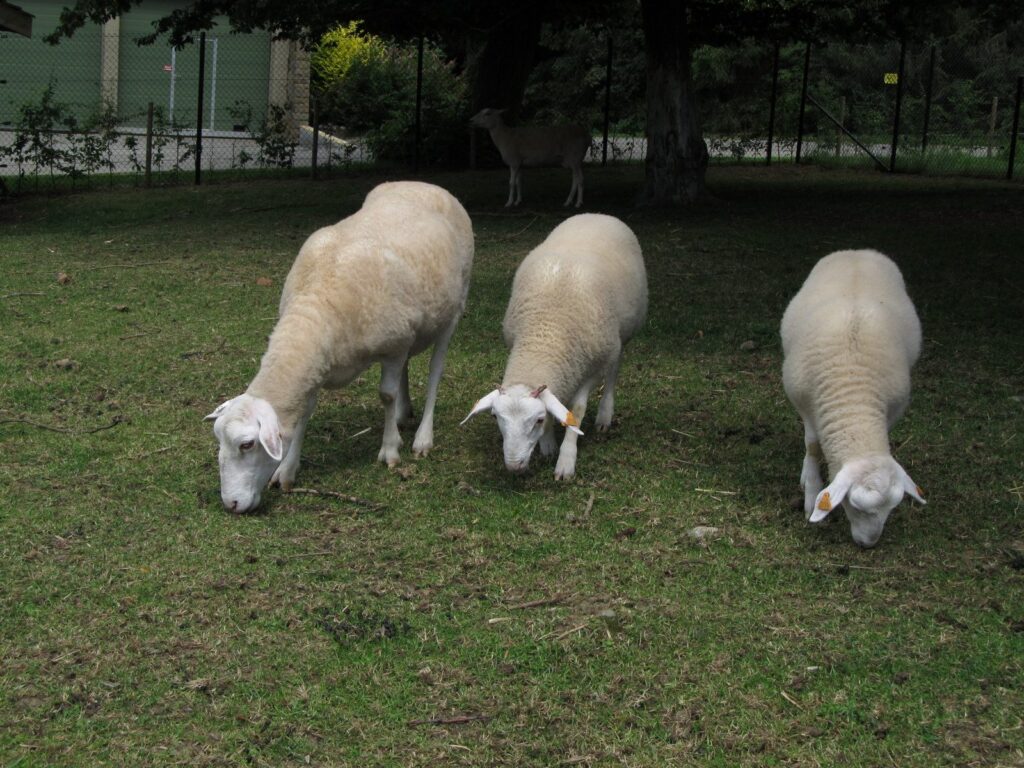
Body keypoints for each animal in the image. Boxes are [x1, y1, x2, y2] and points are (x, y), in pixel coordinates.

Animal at [204, 181, 474, 513]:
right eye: (219, 440)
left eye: (247, 444)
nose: (231, 504)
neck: (320, 304)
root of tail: (425, 184)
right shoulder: (321, 364)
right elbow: (304, 412)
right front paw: (286, 471)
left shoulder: (392, 348)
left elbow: (386, 395)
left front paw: (389, 450)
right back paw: (402, 415)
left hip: (453, 310)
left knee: (436, 370)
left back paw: (422, 437)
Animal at [462, 213, 647, 480]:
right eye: (496, 417)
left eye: (537, 420)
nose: (514, 466)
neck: (545, 337)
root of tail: (598, 214)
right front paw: (548, 446)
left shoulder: (591, 368)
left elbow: (576, 412)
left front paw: (566, 460)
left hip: (620, 337)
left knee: (614, 369)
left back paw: (605, 415)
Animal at [781, 249, 926, 547]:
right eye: (855, 506)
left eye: (892, 508)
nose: (868, 544)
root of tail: (857, 252)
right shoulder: (805, 403)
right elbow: (812, 446)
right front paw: (811, 491)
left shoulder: (891, 410)